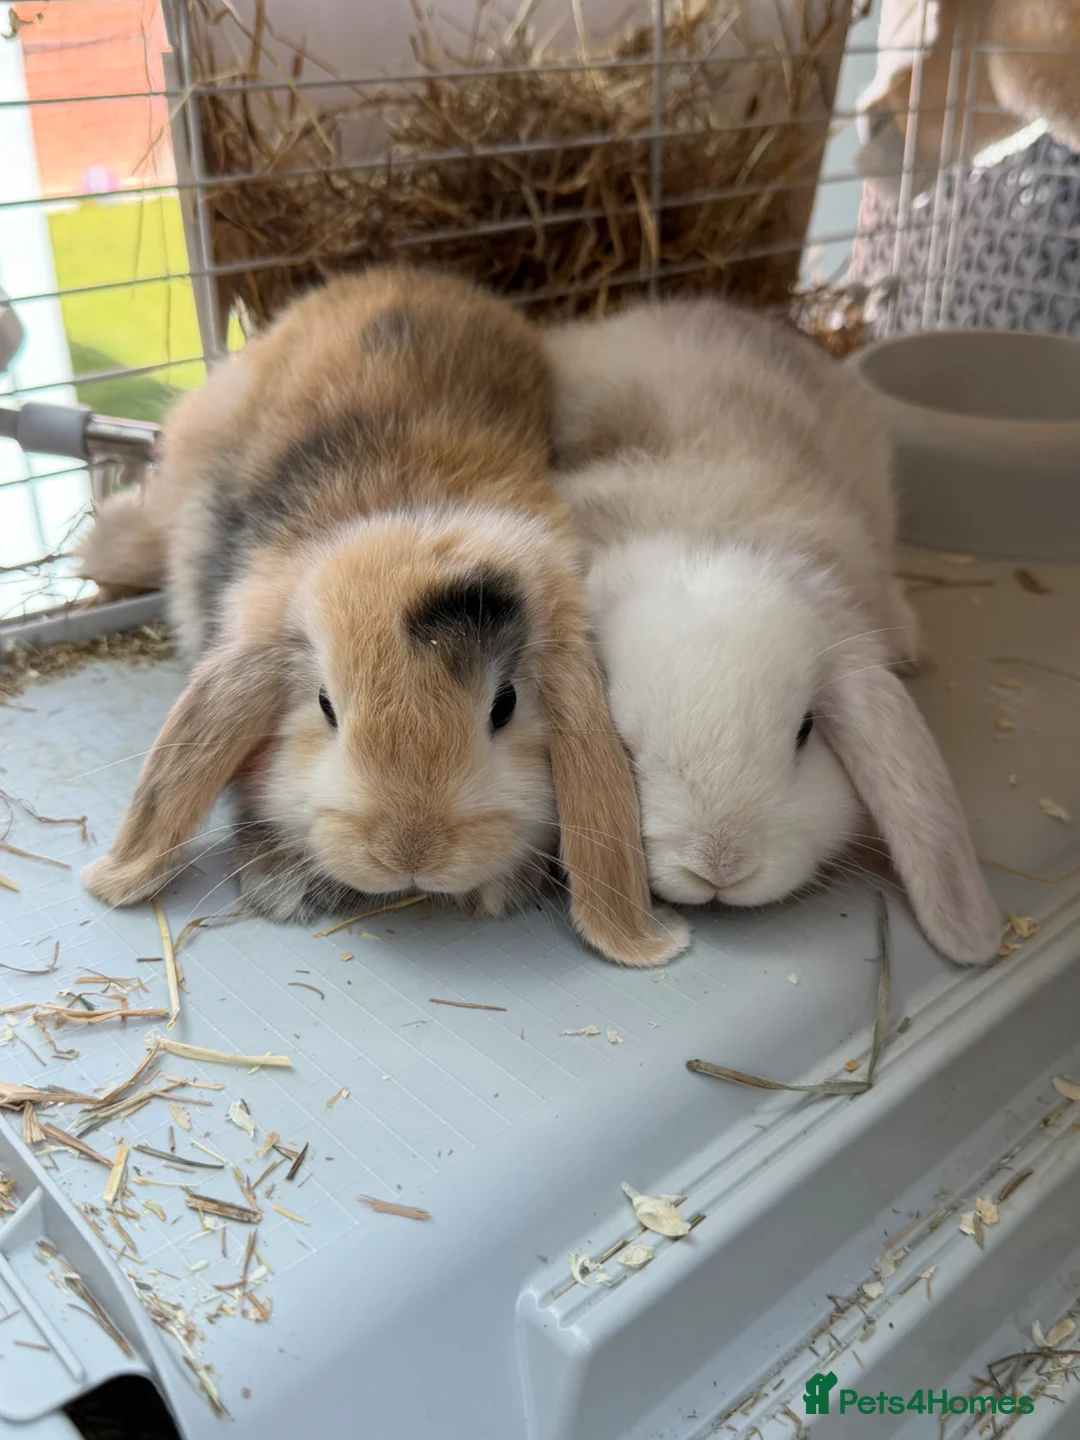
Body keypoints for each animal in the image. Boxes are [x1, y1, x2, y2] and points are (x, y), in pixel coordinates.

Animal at [79, 268, 688, 969]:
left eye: (504, 706)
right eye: (325, 706)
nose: (410, 852)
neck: (412, 522)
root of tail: (404, 277)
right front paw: (282, 885)